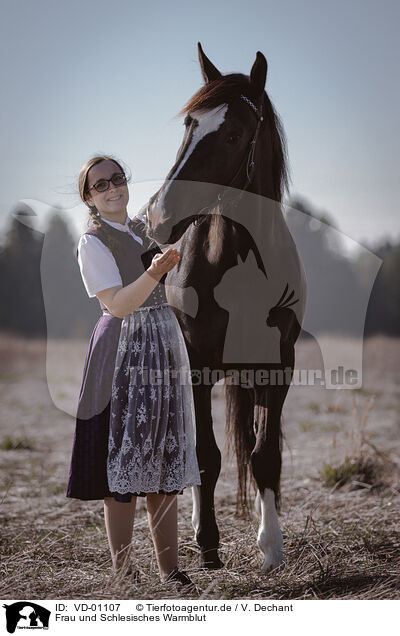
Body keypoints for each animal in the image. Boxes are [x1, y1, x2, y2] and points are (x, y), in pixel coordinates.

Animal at [144, 44, 306, 572]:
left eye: (234, 133)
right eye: (189, 124)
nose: (158, 216)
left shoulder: (278, 366)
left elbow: (264, 454)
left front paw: (271, 545)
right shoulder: (197, 366)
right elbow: (208, 455)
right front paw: (209, 544)